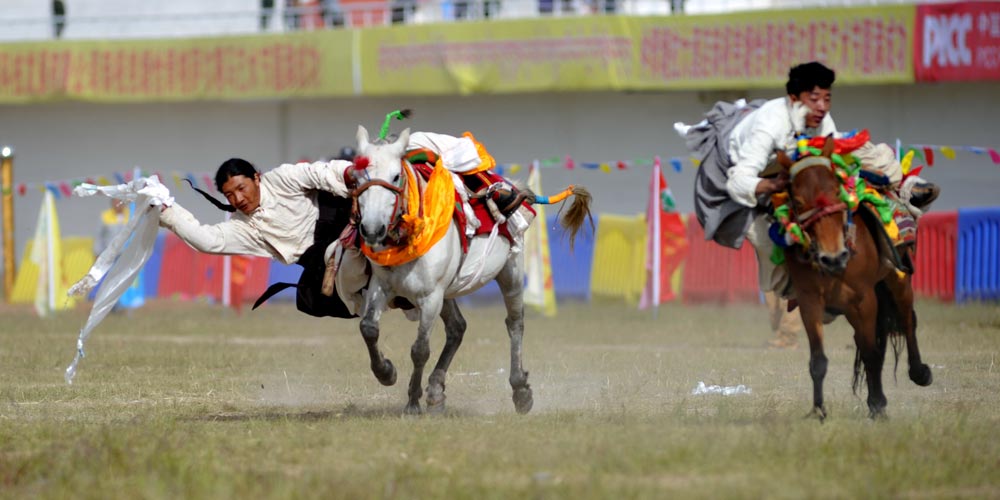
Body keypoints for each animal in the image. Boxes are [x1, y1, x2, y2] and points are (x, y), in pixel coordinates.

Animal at [348, 126, 588, 414]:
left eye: (395, 176)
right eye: (355, 178)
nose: (372, 229)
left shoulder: (431, 296)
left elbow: (420, 349)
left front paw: (413, 403)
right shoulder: (382, 286)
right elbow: (368, 328)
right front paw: (386, 372)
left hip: (510, 272)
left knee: (514, 324)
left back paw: (520, 390)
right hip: (448, 291)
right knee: (457, 328)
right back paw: (436, 391)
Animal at [776, 136, 932, 418]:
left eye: (837, 191)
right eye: (799, 202)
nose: (833, 257)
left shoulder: (864, 300)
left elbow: (871, 353)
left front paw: (879, 405)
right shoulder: (809, 302)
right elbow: (818, 360)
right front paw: (818, 411)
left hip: (897, 279)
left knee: (907, 320)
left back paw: (919, 372)